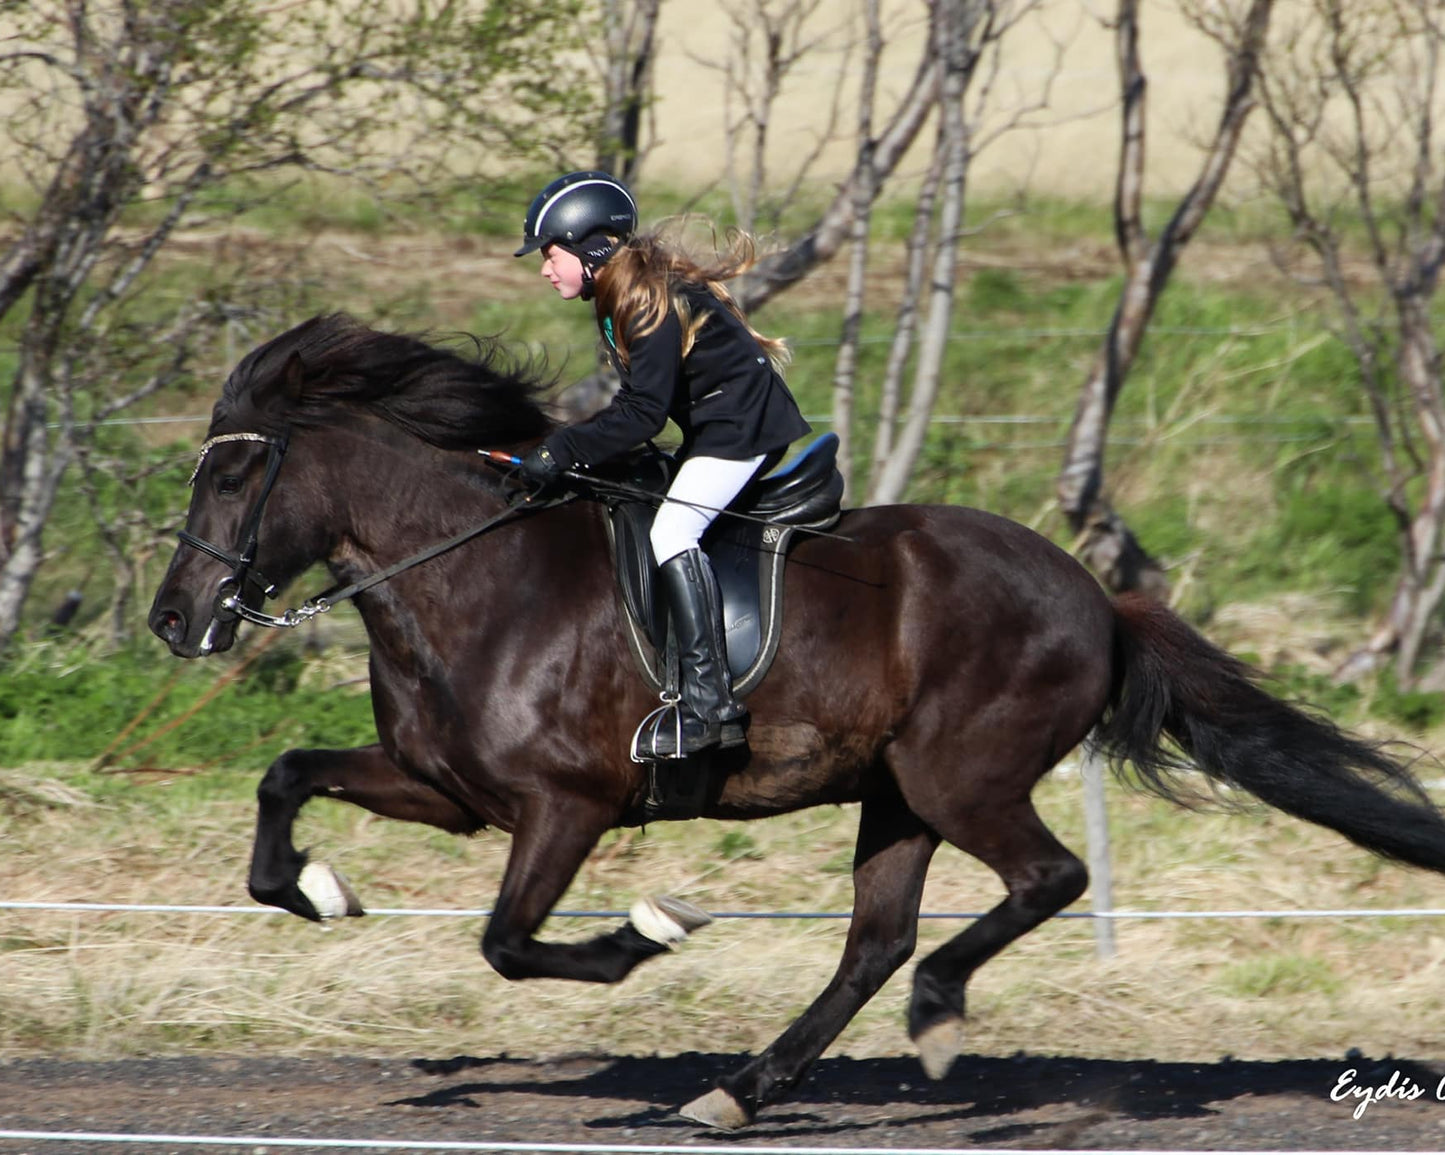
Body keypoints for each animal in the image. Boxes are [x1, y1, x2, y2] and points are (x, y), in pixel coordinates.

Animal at [149, 313, 1445, 1130]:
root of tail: (1092, 593)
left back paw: (931, 1016)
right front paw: (317, 890)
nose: (173, 620)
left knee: (1044, 881)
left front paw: (647, 933)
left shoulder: (565, 807)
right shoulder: (446, 789)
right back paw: (744, 1087)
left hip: (958, 778)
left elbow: (508, 943)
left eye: (234, 476)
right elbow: (284, 777)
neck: (472, 579)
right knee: (876, 940)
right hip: (896, 796)